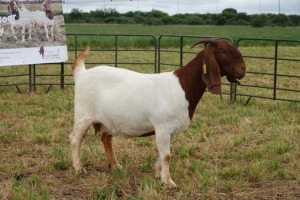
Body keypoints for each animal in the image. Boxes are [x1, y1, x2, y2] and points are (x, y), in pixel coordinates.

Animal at [70, 38, 246, 189]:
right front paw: (169, 182)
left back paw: (115, 165)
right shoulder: (163, 127)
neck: (182, 87)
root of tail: (81, 73)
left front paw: (158, 174)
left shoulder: (171, 131)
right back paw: (79, 168)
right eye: (222, 51)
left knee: (106, 139)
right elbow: (167, 156)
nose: (243, 69)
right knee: (75, 139)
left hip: (107, 120)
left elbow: (163, 154)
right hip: (83, 115)